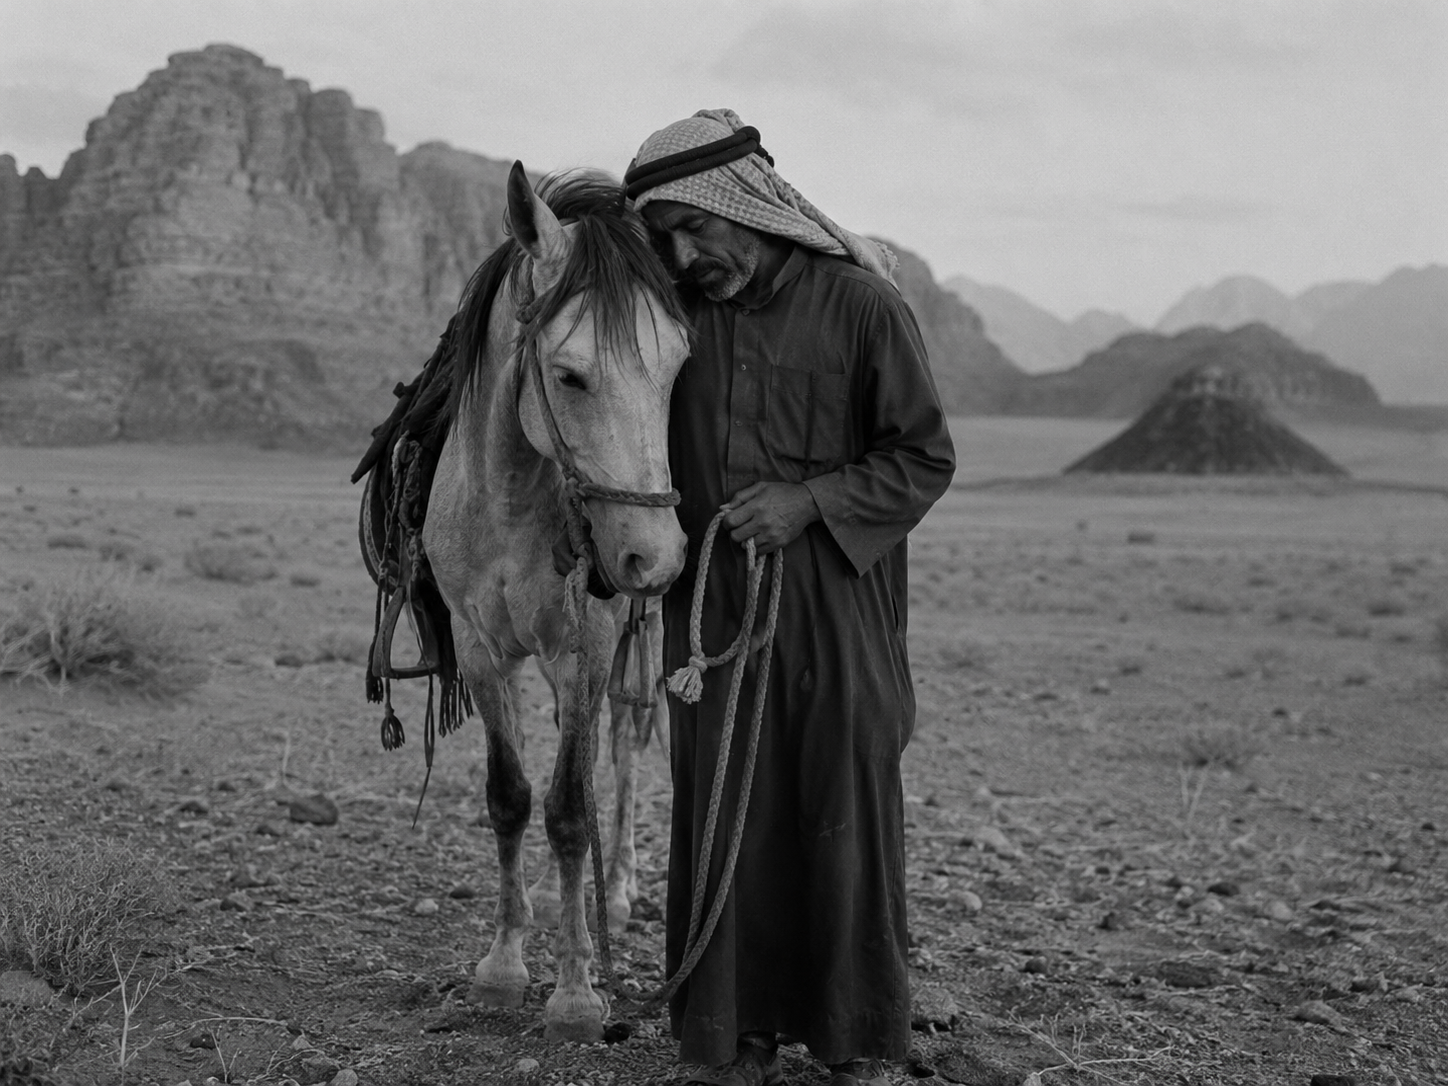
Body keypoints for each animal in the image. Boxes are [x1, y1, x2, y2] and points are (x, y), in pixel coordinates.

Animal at [420, 163, 689, 1042]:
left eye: (678, 369)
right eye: (570, 374)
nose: (654, 557)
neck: (509, 500)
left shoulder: (587, 646)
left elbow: (571, 807)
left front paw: (576, 991)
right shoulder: (480, 648)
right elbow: (510, 797)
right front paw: (503, 966)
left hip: (637, 645)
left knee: (626, 749)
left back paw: (626, 885)